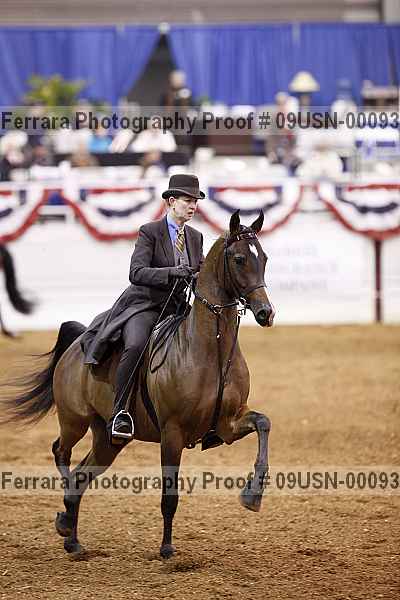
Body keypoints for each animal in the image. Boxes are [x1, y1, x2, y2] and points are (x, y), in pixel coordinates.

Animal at [3, 210, 275, 558]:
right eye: (239, 259)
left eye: (264, 258)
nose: (266, 312)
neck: (209, 349)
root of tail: (76, 344)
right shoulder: (172, 433)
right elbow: (169, 496)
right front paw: (167, 549)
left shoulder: (227, 424)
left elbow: (263, 423)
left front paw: (252, 495)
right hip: (74, 420)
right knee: (61, 452)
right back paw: (65, 514)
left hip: (107, 440)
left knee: (81, 474)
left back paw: (71, 535)